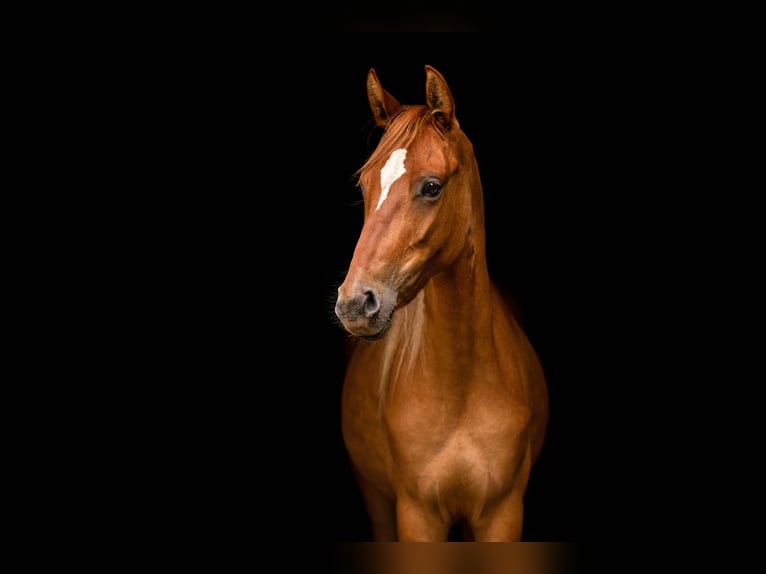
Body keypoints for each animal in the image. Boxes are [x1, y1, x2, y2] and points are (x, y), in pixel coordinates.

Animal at [336, 65, 552, 544]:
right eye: (364, 184)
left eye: (431, 186)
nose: (355, 303)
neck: (460, 392)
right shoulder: (416, 515)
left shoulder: (502, 514)